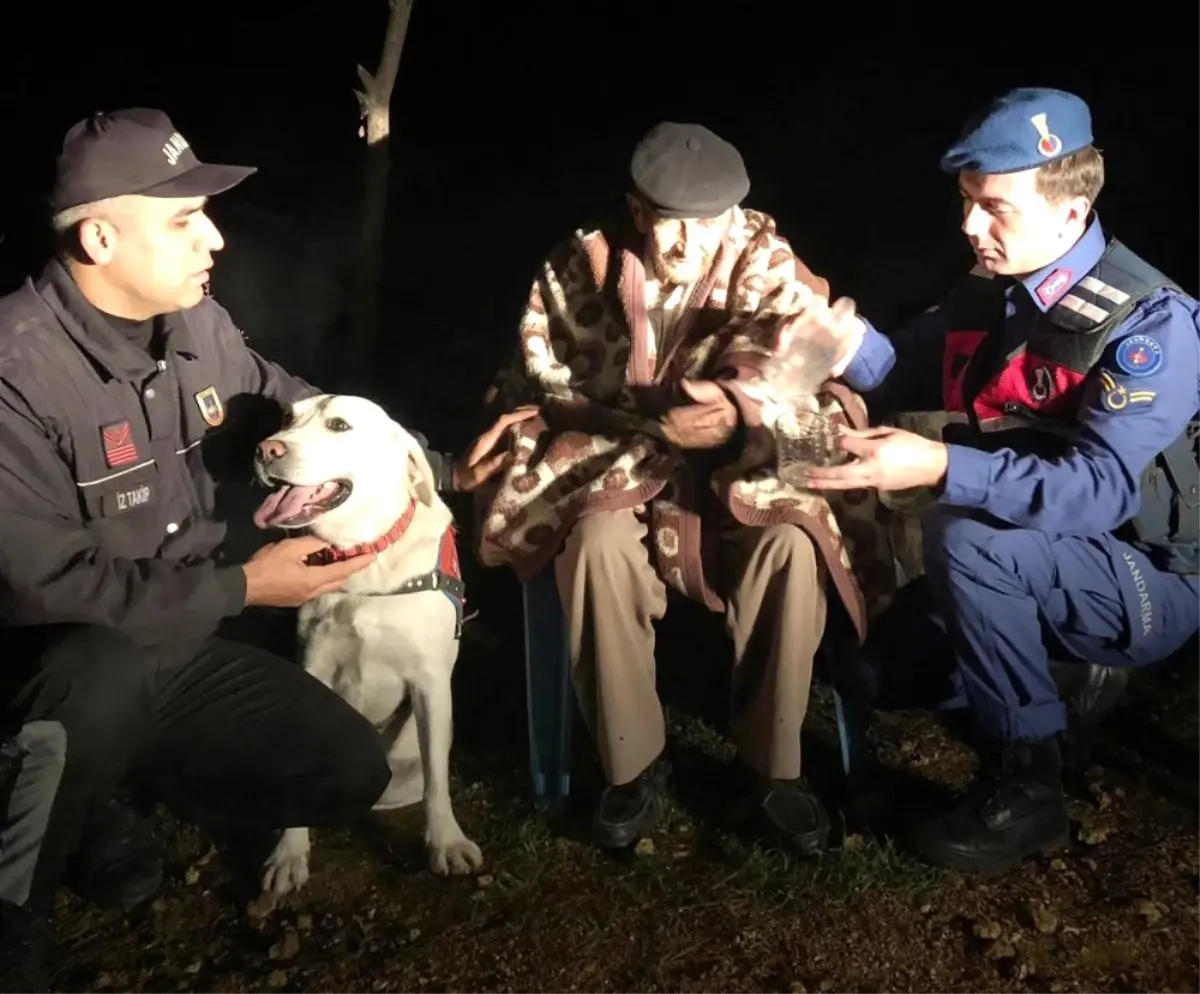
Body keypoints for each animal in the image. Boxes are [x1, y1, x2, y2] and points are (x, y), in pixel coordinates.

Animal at [252, 393, 482, 893]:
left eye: (339, 425)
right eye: (287, 417)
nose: (265, 450)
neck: (365, 560)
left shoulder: (430, 683)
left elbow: (437, 782)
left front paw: (446, 842)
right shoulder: (314, 664)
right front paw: (289, 852)